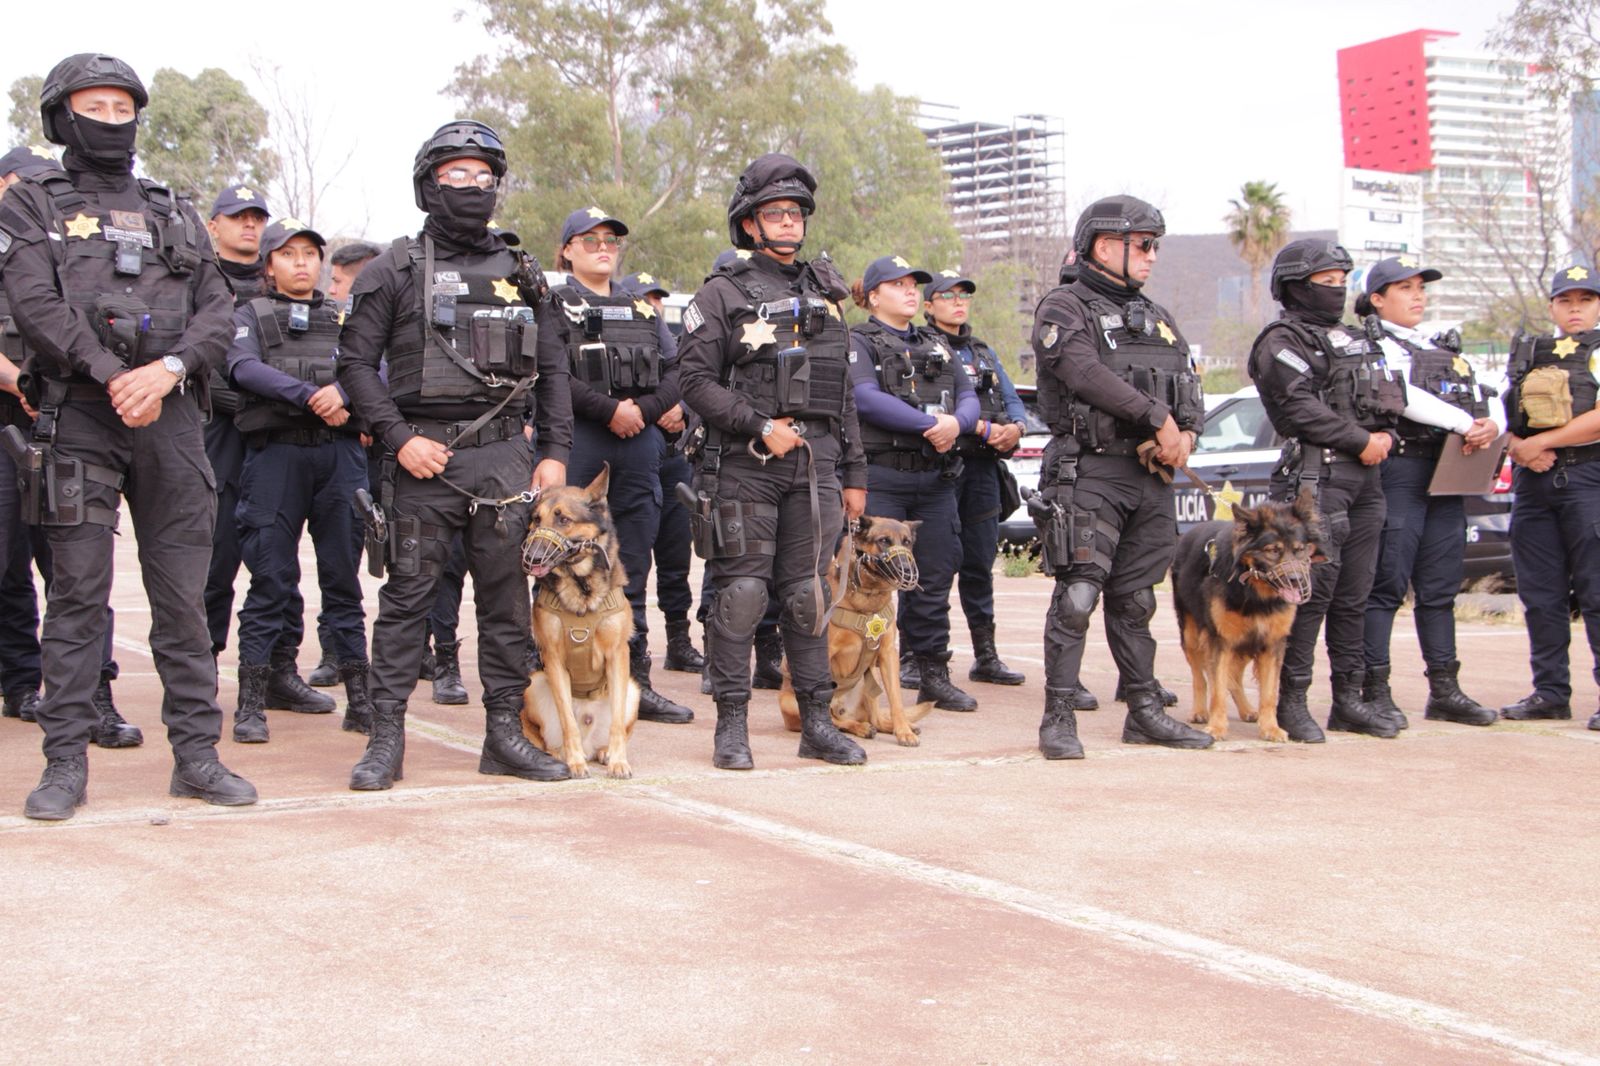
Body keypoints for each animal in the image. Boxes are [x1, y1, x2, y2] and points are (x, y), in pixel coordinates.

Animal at [519, 465, 640, 779]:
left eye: (563, 519)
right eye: (536, 519)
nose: (532, 557)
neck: (581, 589)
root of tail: (590, 744)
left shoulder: (618, 655)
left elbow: (616, 726)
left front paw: (619, 761)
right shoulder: (553, 658)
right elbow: (567, 722)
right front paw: (574, 762)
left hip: (634, 690)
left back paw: (605, 752)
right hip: (533, 684)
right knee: (546, 736)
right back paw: (560, 755)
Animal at [778, 516, 933, 746]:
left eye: (906, 542)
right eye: (884, 541)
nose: (906, 568)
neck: (867, 595)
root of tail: (846, 710)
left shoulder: (888, 654)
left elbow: (896, 700)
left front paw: (903, 731)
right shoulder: (827, 651)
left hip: (871, 684)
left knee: (876, 719)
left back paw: (896, 726)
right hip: (789, 701)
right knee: (837, 720)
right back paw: (858, 728)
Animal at [1170, 489, 1324, 742]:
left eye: (1299, 549)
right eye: (1273, 550)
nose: (1296, 580)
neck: (1254, 593)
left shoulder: (1271, 643)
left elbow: (1268, 693)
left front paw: (1270, 727)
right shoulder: (1221, 640)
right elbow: (1217, 688)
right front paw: (1217, 727)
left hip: (1243, 641)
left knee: (1233, 679)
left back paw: (1246, 710)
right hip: (1192, 635)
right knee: (1201, 678)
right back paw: (1200, 711)